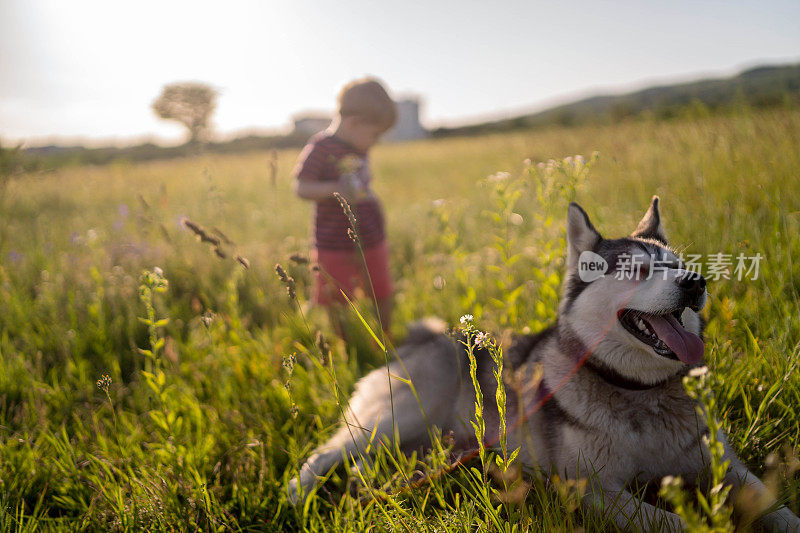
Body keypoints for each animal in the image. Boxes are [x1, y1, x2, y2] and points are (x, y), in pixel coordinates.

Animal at [290, 197, 800, 528]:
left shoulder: (725, 465)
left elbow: (776, 507)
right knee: (326, 452)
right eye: (637, 270)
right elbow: (670, 523)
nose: (695, 281)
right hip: (394, 416)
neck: (641, 393)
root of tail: (427, 335)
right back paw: (296, 493)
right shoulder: (593, 488)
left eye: (677, 265)